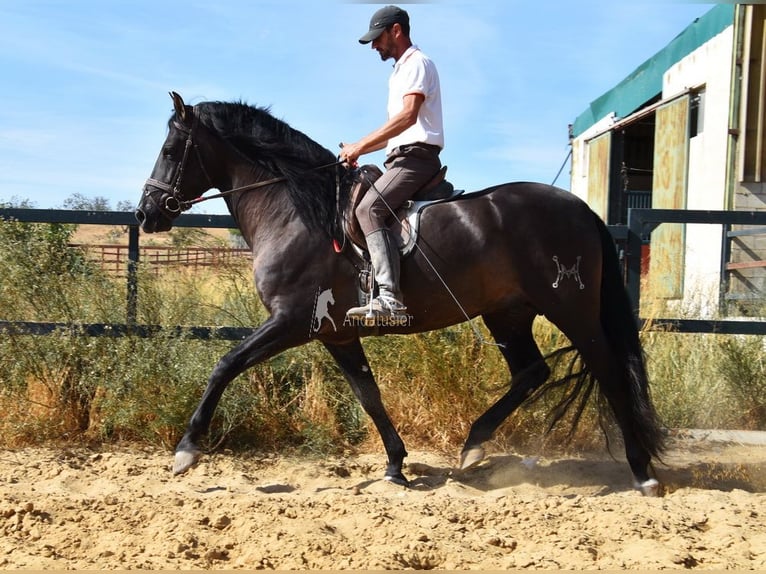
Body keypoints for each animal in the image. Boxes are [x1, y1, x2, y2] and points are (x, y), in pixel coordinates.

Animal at [136, 92, 664, 498]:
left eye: (171, 148)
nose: (146, 213)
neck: (295, 212)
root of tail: (582, 209)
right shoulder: (336, 334)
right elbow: (368, 395)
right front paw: (395, 465)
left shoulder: (291, 321)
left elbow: (225, 364)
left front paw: (186, 451)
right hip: (507, 313)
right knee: (532, 372)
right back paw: (474, 444)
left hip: (570, 309)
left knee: (609, 371)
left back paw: (642, 473)